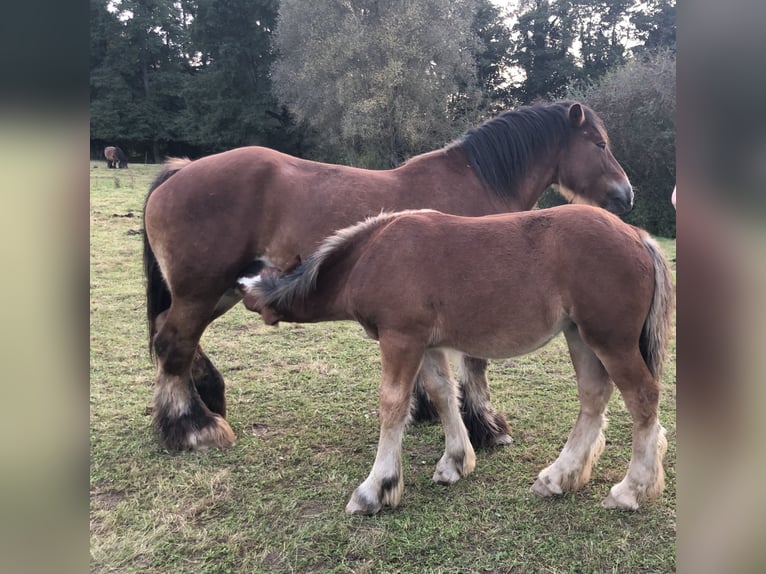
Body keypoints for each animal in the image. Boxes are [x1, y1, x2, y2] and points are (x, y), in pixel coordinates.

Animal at [143, 100, 634, 452]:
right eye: (598, 144)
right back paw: (195, 428)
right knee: (173, 343)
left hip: (218, 292)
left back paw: (204, 402)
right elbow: (474, 363)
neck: (476, 181)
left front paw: (428, 409)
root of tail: (182, 169)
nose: (626, 196)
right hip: (201, 291)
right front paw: (486, 427)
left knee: (176, 339)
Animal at [242, 204, 673, 514]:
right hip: (581, 337)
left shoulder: (401, 339)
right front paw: (455, 462)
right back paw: (558, 477)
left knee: (642, 398)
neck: (374, 253)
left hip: (611, 342)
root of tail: (637, 235)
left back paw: (630, 491)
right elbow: (443, 393)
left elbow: (393, 405)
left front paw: (375, 489)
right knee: (593, 398)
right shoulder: (427, 344)